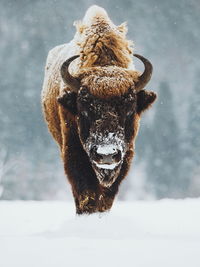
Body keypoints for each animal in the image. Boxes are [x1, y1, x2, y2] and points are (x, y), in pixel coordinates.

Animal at [41, 5, 156, 216]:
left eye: (129, 108)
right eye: (84, 107)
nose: (106, 154)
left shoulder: (125, 156)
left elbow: (107, 196)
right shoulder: (74, 153)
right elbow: (86, 192)